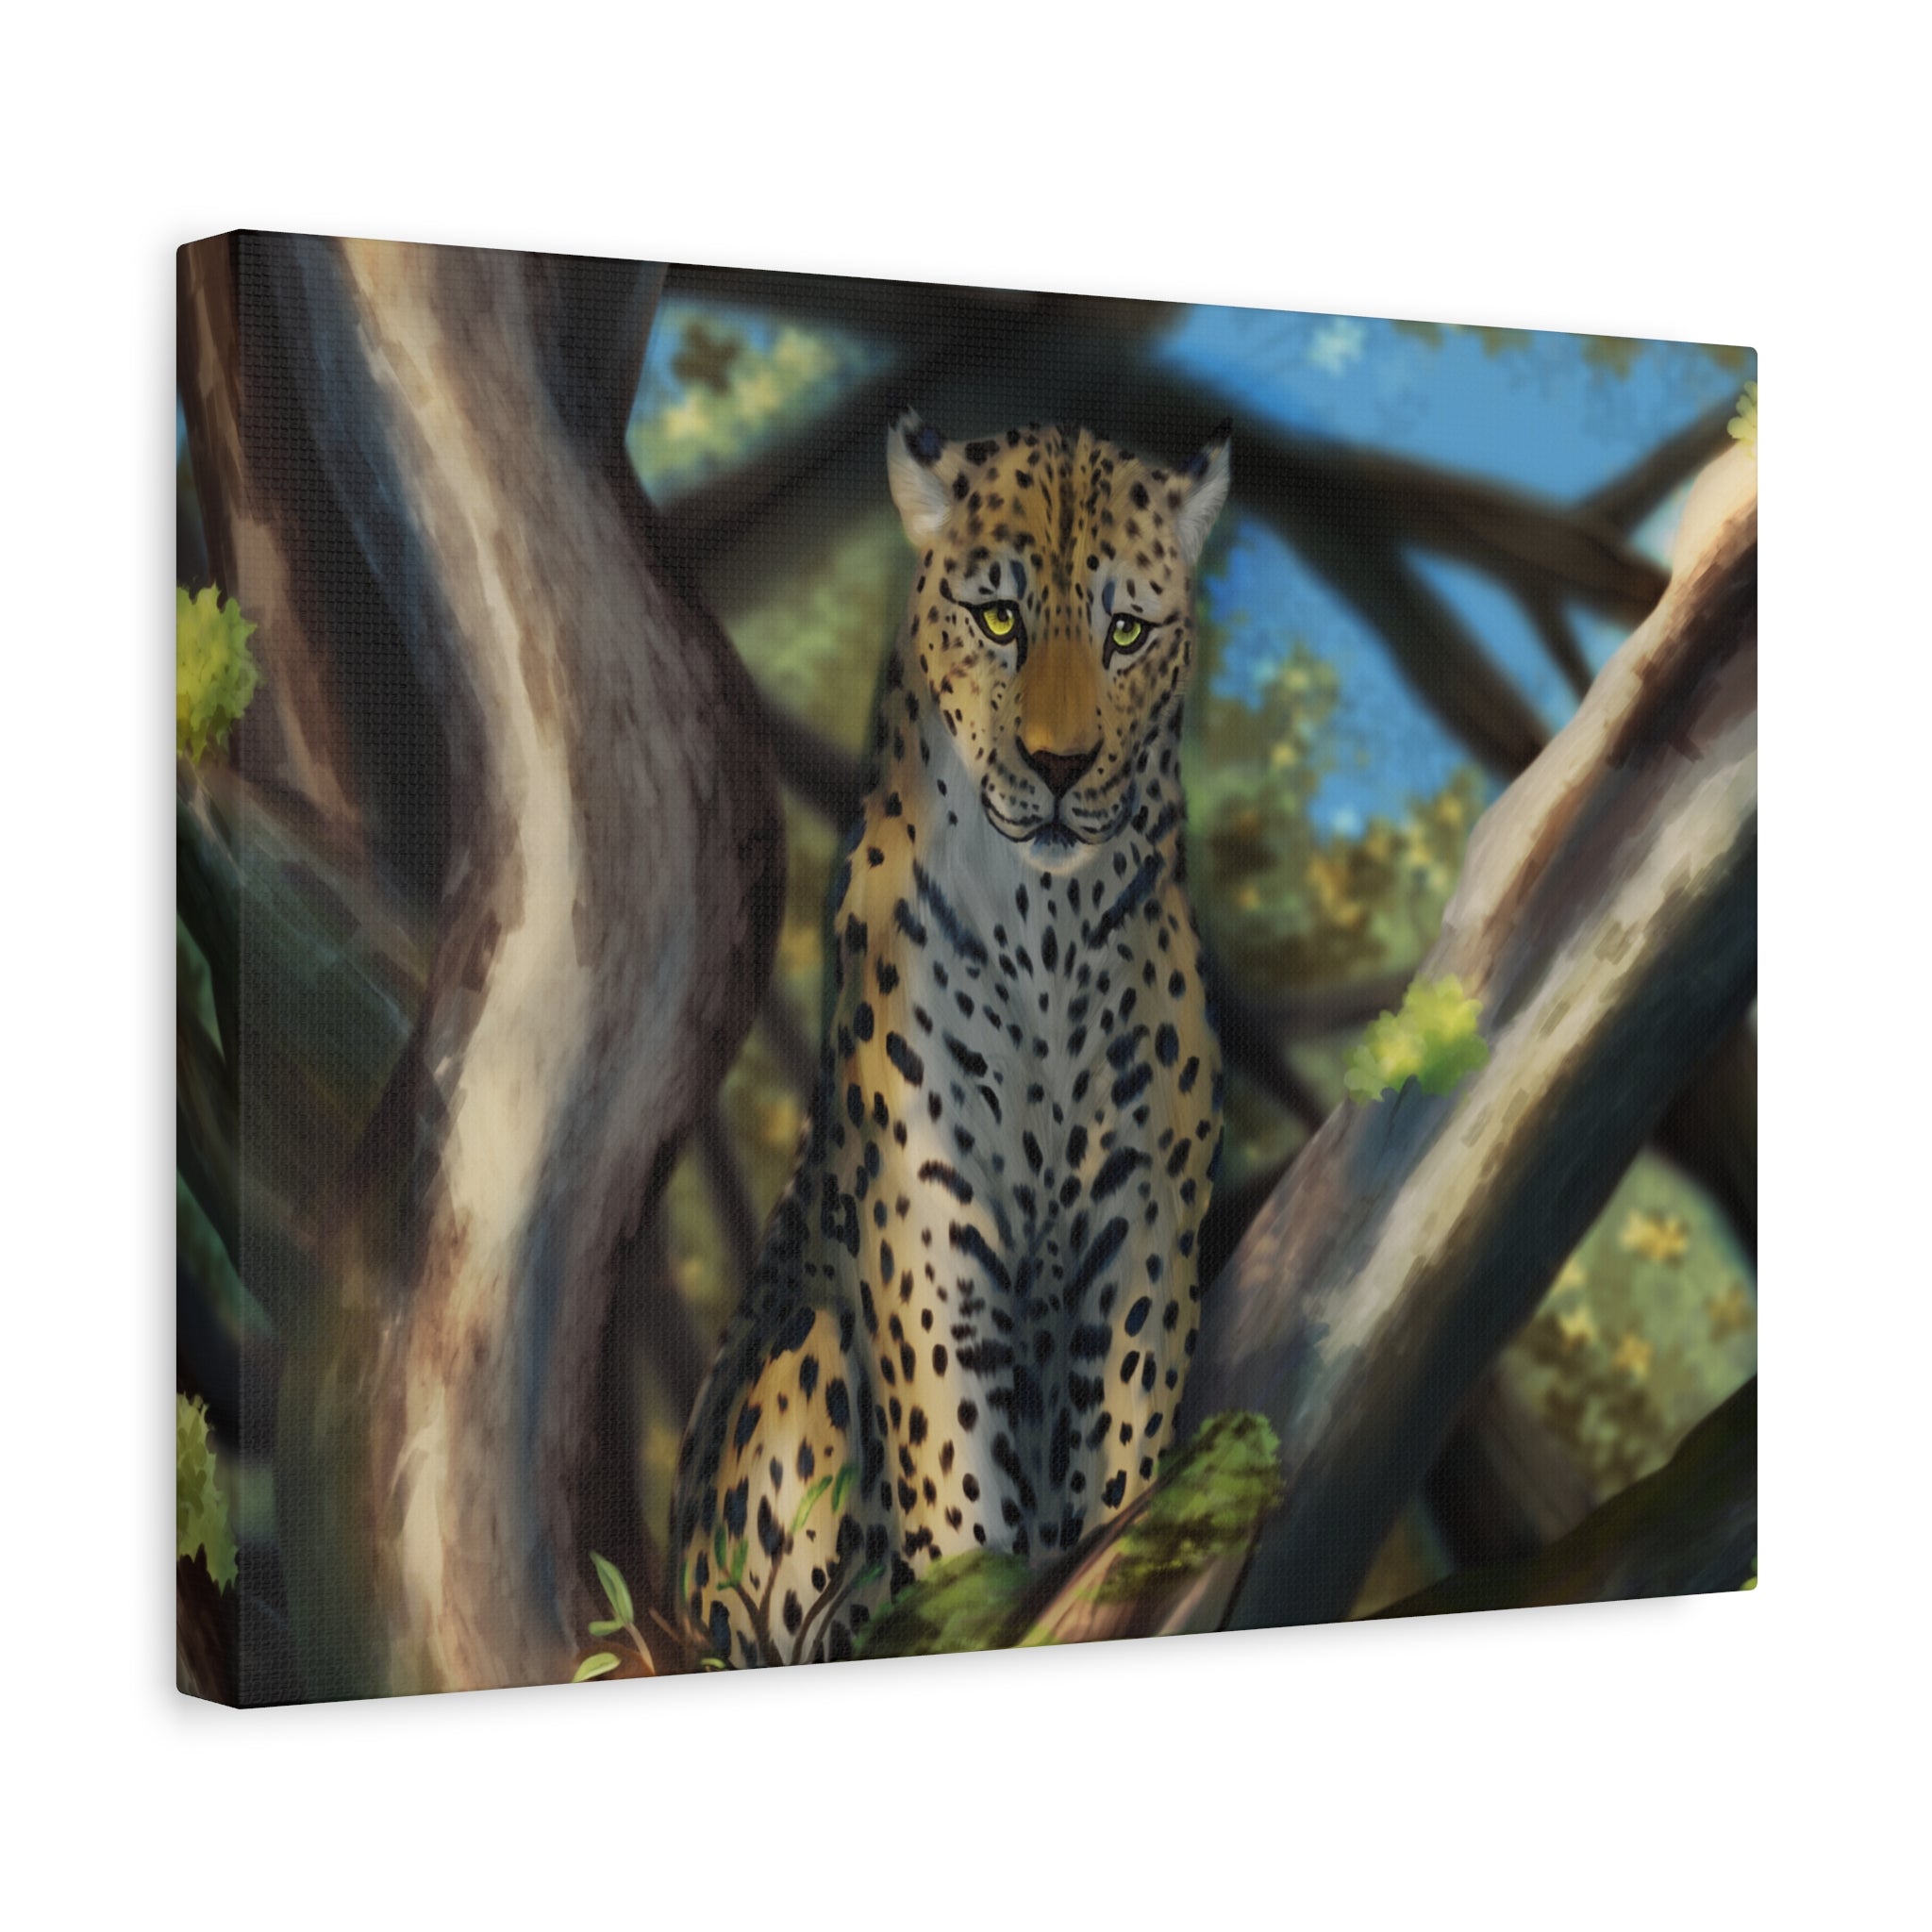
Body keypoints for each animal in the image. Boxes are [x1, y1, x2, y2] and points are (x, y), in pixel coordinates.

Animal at [670, 409, 1231, 1666]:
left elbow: (1123, 1439)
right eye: (998, 618)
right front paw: (977, 1594)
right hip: (802, 1365)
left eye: (1126, 630)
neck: (1048, 928)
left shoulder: (1142, 1217)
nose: (1061, 767)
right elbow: (953, 1466)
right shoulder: (928, 1221)